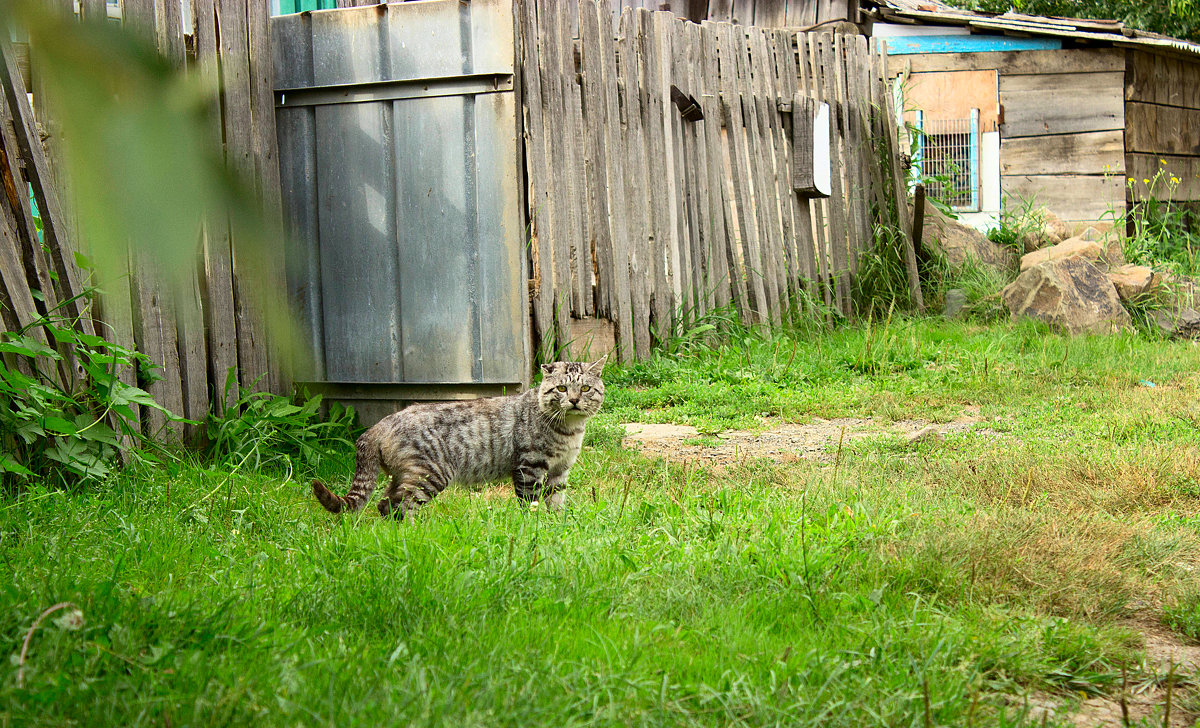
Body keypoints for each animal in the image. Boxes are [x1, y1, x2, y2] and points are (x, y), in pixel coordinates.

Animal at [312, 359, 604, 518]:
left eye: (585, 388)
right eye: (562, 388)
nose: (574, 400)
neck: (569, 431)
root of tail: (381, 423)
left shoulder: (559, 472)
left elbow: (556, 502)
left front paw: (556, 523)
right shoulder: (529, 467)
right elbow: (530, 504)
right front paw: (536, 525)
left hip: (405, 475)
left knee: (385, 504)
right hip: (429, 474)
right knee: (400, 506)